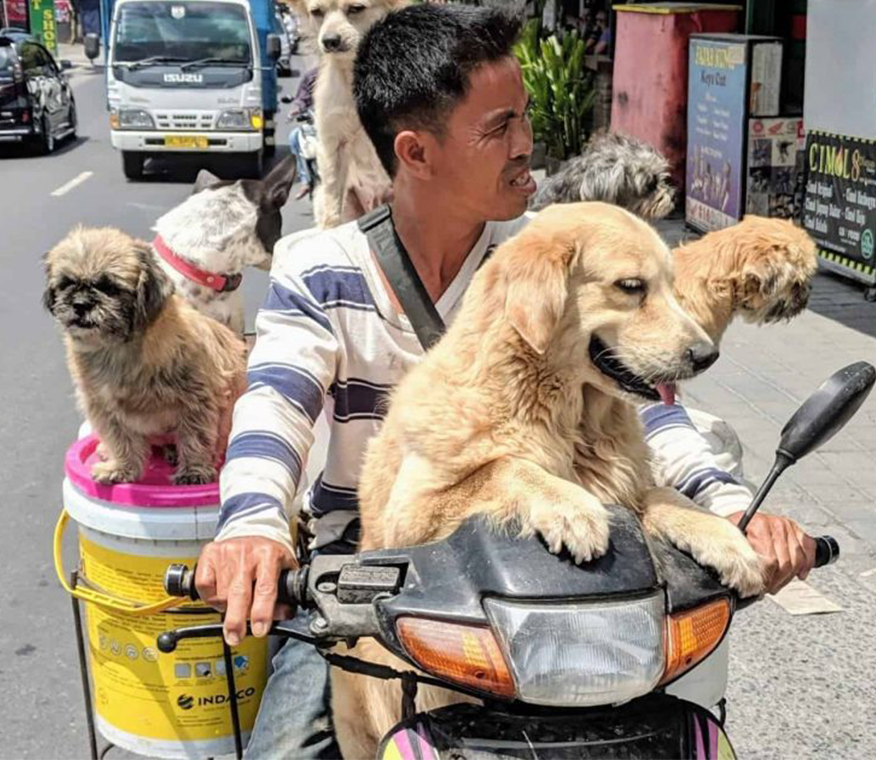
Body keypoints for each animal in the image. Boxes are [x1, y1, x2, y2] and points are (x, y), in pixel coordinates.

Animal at [44, 226, 247, 485]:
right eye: (66, 283)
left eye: (110, 287)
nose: (80, 304)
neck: (118, 348)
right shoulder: (104, 406)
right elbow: (120, 439)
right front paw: (122, 468)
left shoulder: (197, 399)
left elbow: (195, 435)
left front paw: (193, 470)